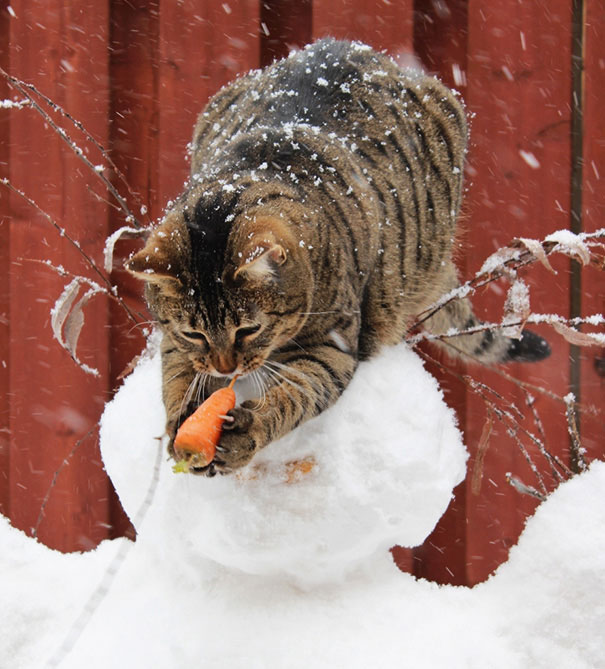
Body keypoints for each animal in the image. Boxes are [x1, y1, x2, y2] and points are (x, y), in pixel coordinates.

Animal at [126, 39, 548, 474]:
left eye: (249, 330)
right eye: (194, 333)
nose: (226, 369)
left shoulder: (332, 347)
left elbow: (295, 394)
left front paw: (249, 429)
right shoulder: (175, 343)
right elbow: (176, 378)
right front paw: (183, 422)